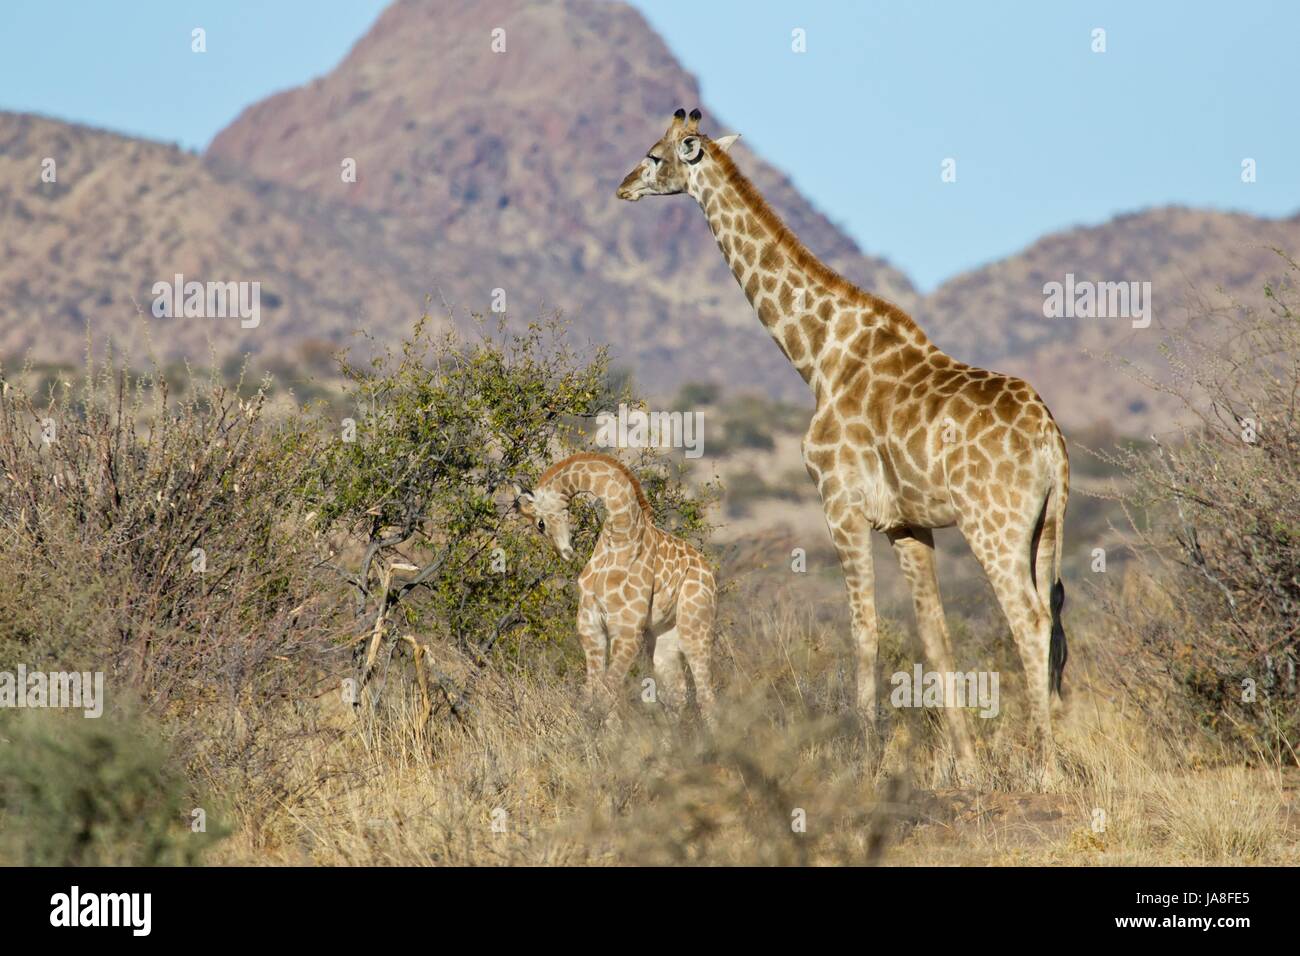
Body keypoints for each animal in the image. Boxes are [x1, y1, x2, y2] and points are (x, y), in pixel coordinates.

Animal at [514, 455, 722, 717]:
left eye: (540, 524)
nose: (564, 552)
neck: (620, 535)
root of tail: (710, 572)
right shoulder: (590, 628)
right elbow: (591, 696)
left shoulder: (627, 631)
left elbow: (606, 694)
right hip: (664, 638)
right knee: (676, 696)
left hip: (696, 629)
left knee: (706, 698)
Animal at [618, 108, 1066, 775]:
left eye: (653, 156)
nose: (621, 186)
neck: (818, 354)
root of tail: (1050, 440)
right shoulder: (909, 523)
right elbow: (934, 633)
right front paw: (964, 762)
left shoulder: (841, 506)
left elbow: (863, 629)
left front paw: (866, 753)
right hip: (1046, 525)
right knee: (1055, 617)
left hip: (995, 523)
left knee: (1030, 620)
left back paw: (1045, 764)